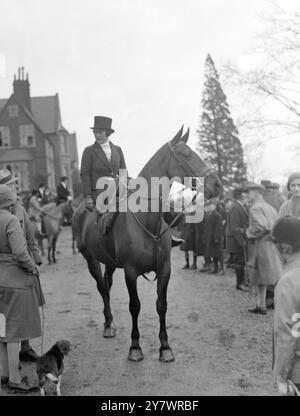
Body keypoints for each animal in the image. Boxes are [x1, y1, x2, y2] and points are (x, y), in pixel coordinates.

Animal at [72, 128, 223, 362]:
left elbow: (162, 305)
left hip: (110, 262)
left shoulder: (164, 269)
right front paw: (135, 347)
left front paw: (165, 347)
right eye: (187, 154)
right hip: (90, 258)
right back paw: (108, 324)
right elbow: (135, 306)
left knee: (107, 284)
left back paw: (109, 322)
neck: (147, 218)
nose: (217, 184)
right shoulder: (130, 271)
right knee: (102, 288)